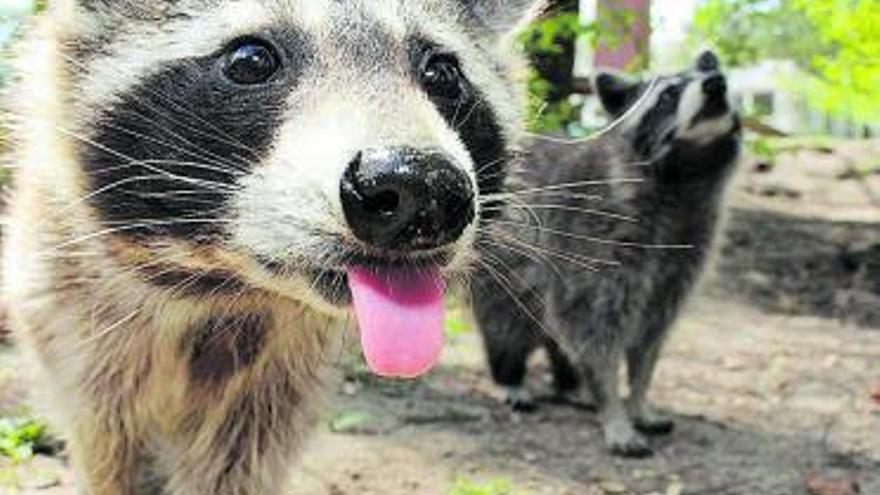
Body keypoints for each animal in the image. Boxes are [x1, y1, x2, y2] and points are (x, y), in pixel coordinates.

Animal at [1, 1, 544, 494]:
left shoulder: (280, 380)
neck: (222, 286)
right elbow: (109, 447)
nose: (420, 188)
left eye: (442, 72)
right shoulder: (72, 321)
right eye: (251, 60)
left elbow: (239, 459)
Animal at [474, 52, 744, 460]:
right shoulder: (593, 240)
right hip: (505, 267)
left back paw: (569, 384)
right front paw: (614, 407)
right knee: (506, 323)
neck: (685, 176)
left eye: (717, 75)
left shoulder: (682, 255)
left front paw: (638, 399)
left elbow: (650, 338)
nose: (716, 84)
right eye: (669, 95)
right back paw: (510, 376)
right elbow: (596, 333)